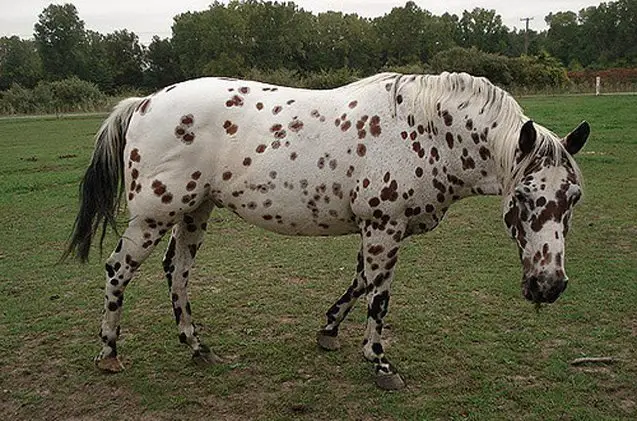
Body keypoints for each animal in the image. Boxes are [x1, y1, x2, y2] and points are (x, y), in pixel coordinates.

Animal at [63, 70, 588, 388]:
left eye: (574, 198)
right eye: (523, 197)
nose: (548, 286)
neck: (425, 132)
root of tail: (144, 102)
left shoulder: (375, 230)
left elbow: (358, 284)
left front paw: (329, 331)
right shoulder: (384, 228)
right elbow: (378, 295)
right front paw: (379, 362)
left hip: (195, 211)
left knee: (178, 272)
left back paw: (196, 346)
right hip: (154, 215)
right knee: (118, 270)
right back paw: (109, 353)